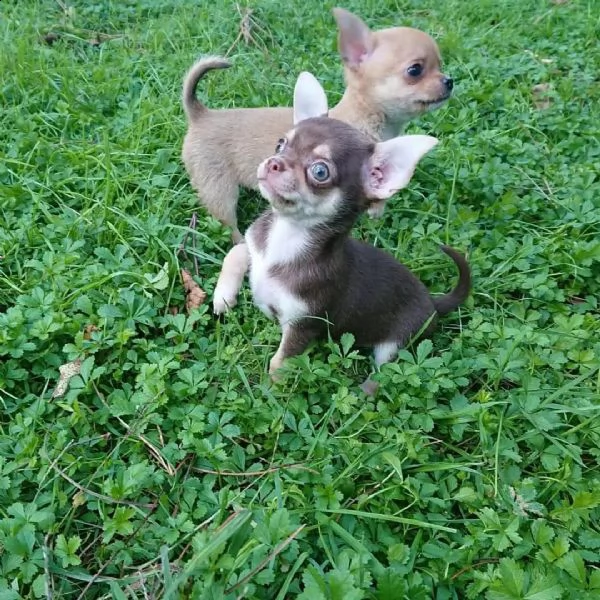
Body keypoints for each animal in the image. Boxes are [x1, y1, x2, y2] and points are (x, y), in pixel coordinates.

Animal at [180, 6, 452, 241]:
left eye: (440, 65)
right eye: (415, 70)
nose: (450, 81)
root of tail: (201, 114)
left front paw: (376, 217)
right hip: (219, 189)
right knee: (229, 223)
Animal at [213, 71, 472, 394]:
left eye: (320, 172)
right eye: (280, 144)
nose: (274, 162)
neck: (286, 236)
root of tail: (433, 304)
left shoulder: (303, 324)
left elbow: (281, 361)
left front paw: (270, 392)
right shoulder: (253, 244)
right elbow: (235, 252)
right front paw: (223, 296)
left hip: (395, 344)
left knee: (385, 374)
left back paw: (363, 393)